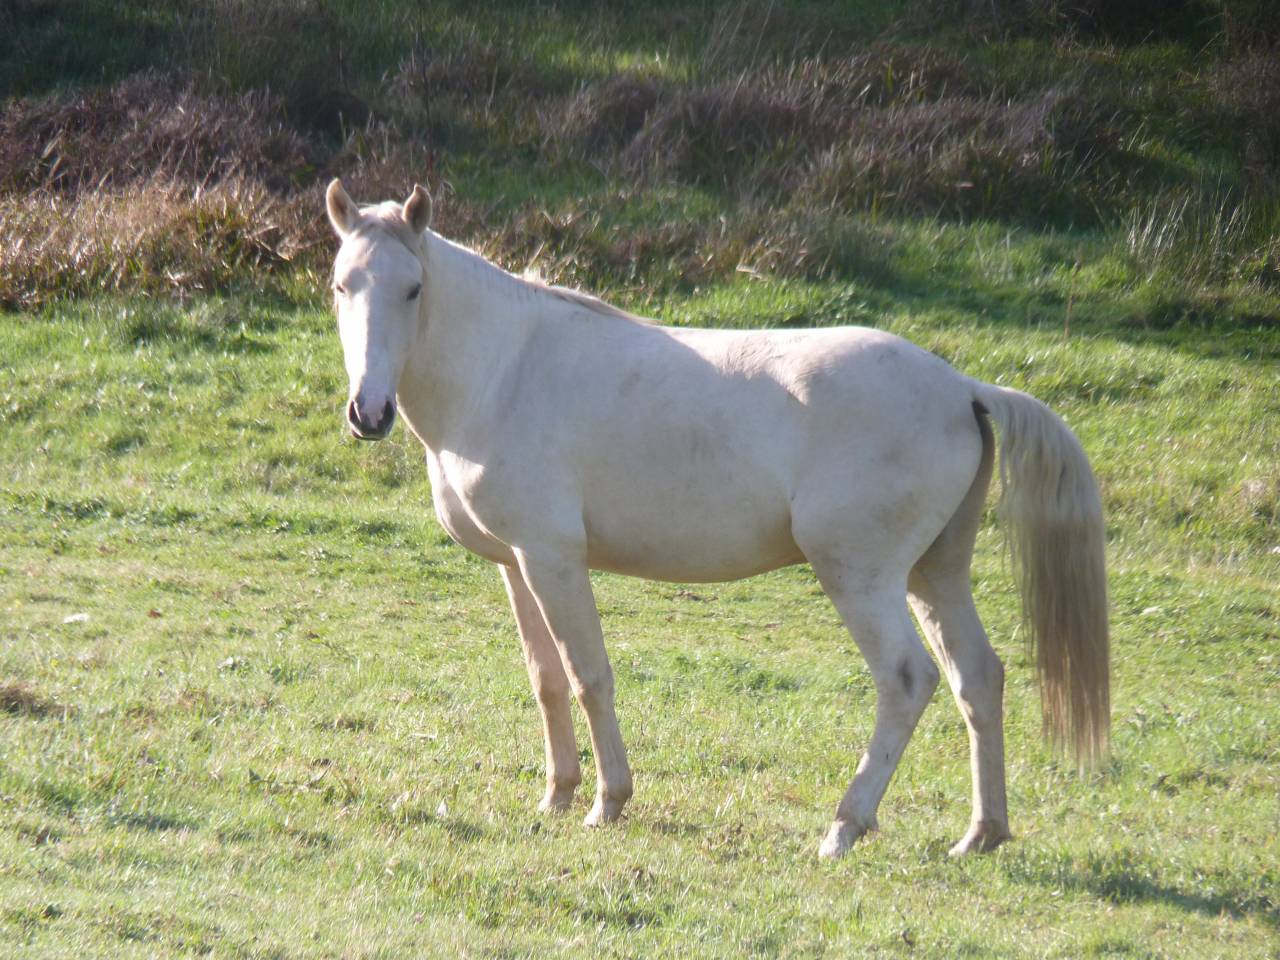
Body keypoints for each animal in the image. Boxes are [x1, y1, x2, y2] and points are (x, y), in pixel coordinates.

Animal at [323, 179, 1109, 858]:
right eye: (341, 285)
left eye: (413, 288)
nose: (369, 412)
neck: (506, 371)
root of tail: (962, 388)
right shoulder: (517, 565)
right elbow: (545, 677)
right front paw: (556, 795)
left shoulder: (553, 559)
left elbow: (589, 674)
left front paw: (608, 802)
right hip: (934, 573)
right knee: (977, 678)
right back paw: (981, 833)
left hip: (863, 577)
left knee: (907, 679)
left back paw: (843, 827)